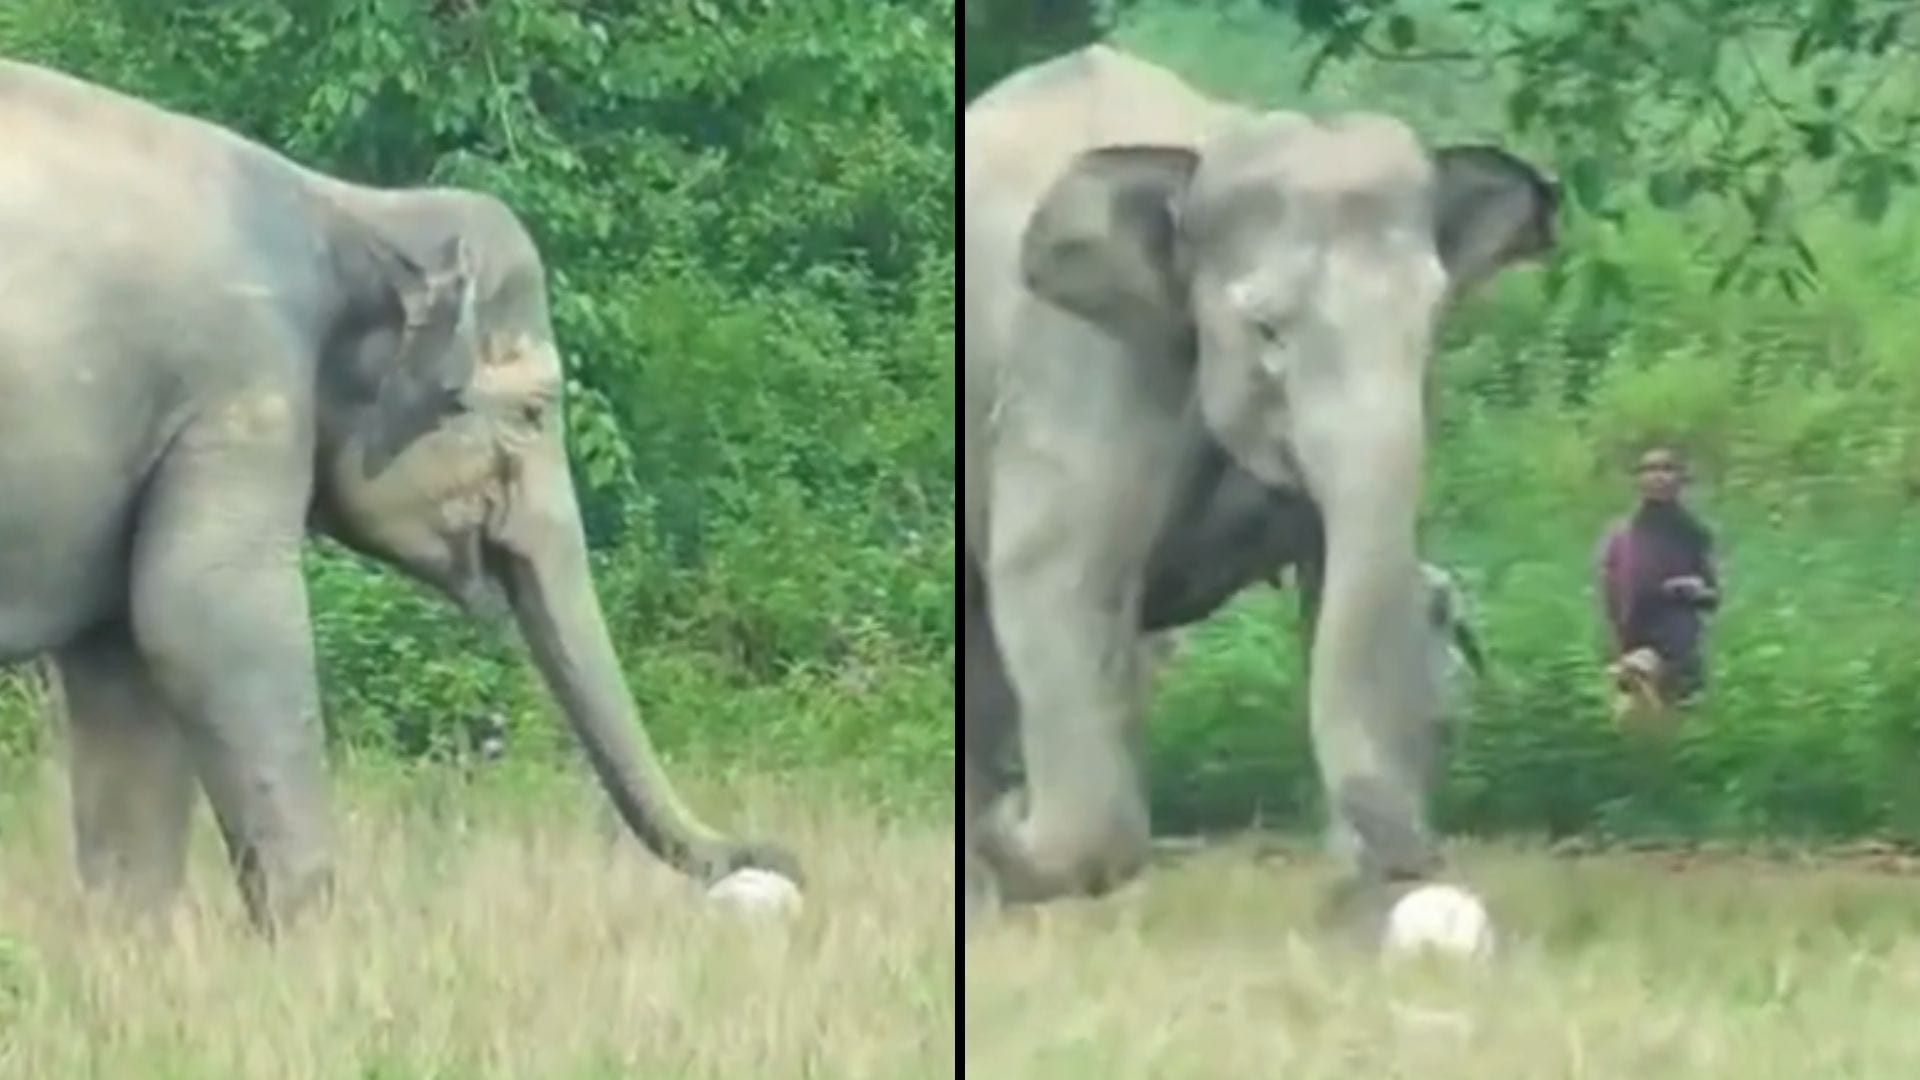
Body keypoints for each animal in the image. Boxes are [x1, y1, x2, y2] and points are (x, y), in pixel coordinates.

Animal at [0, 59, 799, 933]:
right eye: (533, 413)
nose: (772, 860)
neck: (354, 207)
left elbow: (126, 666)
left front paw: (130, 945)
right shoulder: (241, 385)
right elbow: (208, 619)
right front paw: (309, 942)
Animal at [962, 45, 1554, 922]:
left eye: (1432, 323)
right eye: (1268, 330)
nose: (1420, 858)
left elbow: (1343, 575)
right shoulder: (1075, 356)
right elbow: (1059, 576)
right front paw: (1015, 838)